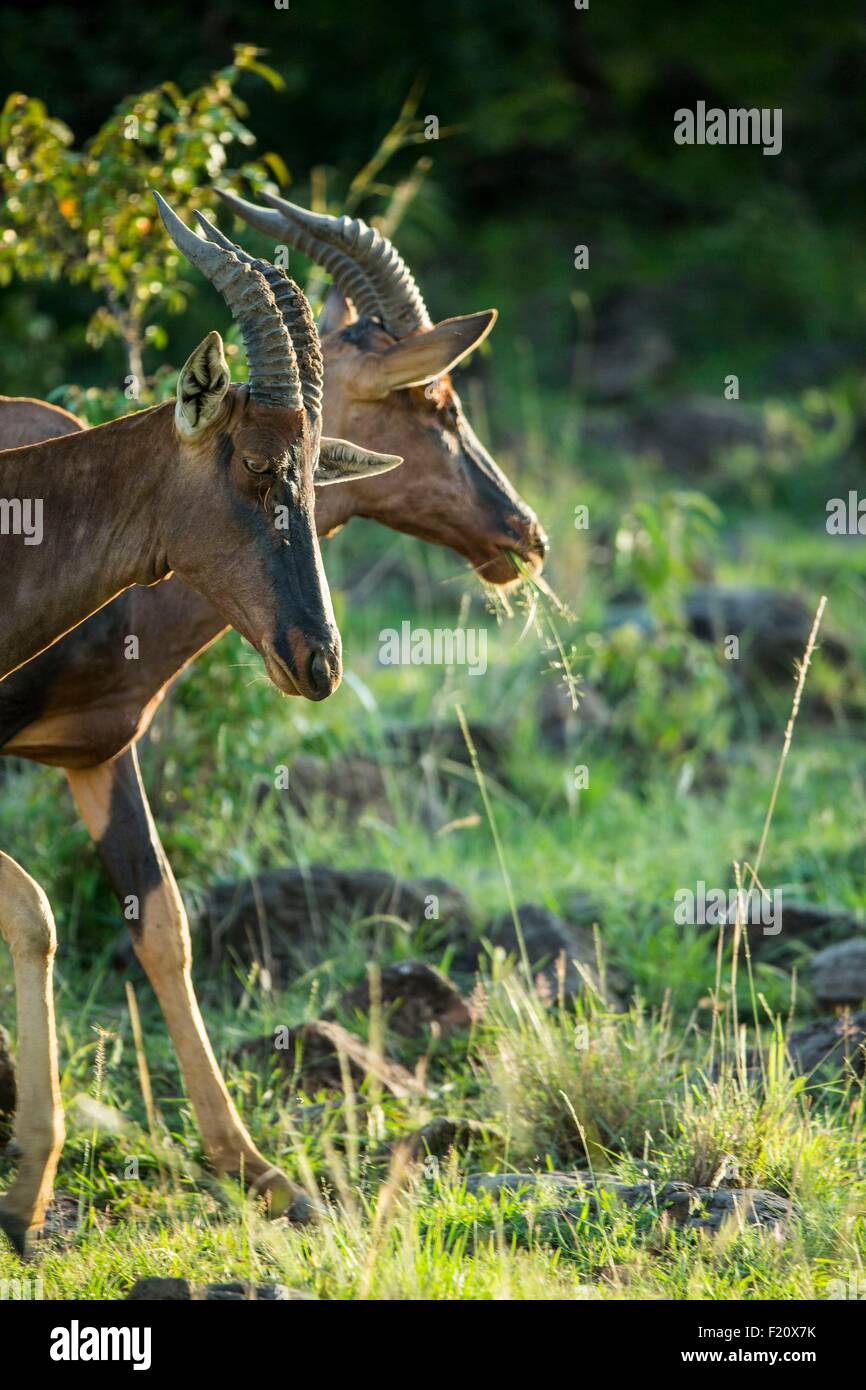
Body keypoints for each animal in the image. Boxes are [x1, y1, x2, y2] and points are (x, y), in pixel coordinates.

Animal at [0, 198, 544, 1251]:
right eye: (435, 400)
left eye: (315, 462)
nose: (526, 536)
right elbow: (36, 912)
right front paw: (23, 1194)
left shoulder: (99, 754)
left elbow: (161, 925)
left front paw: (263, 1175)